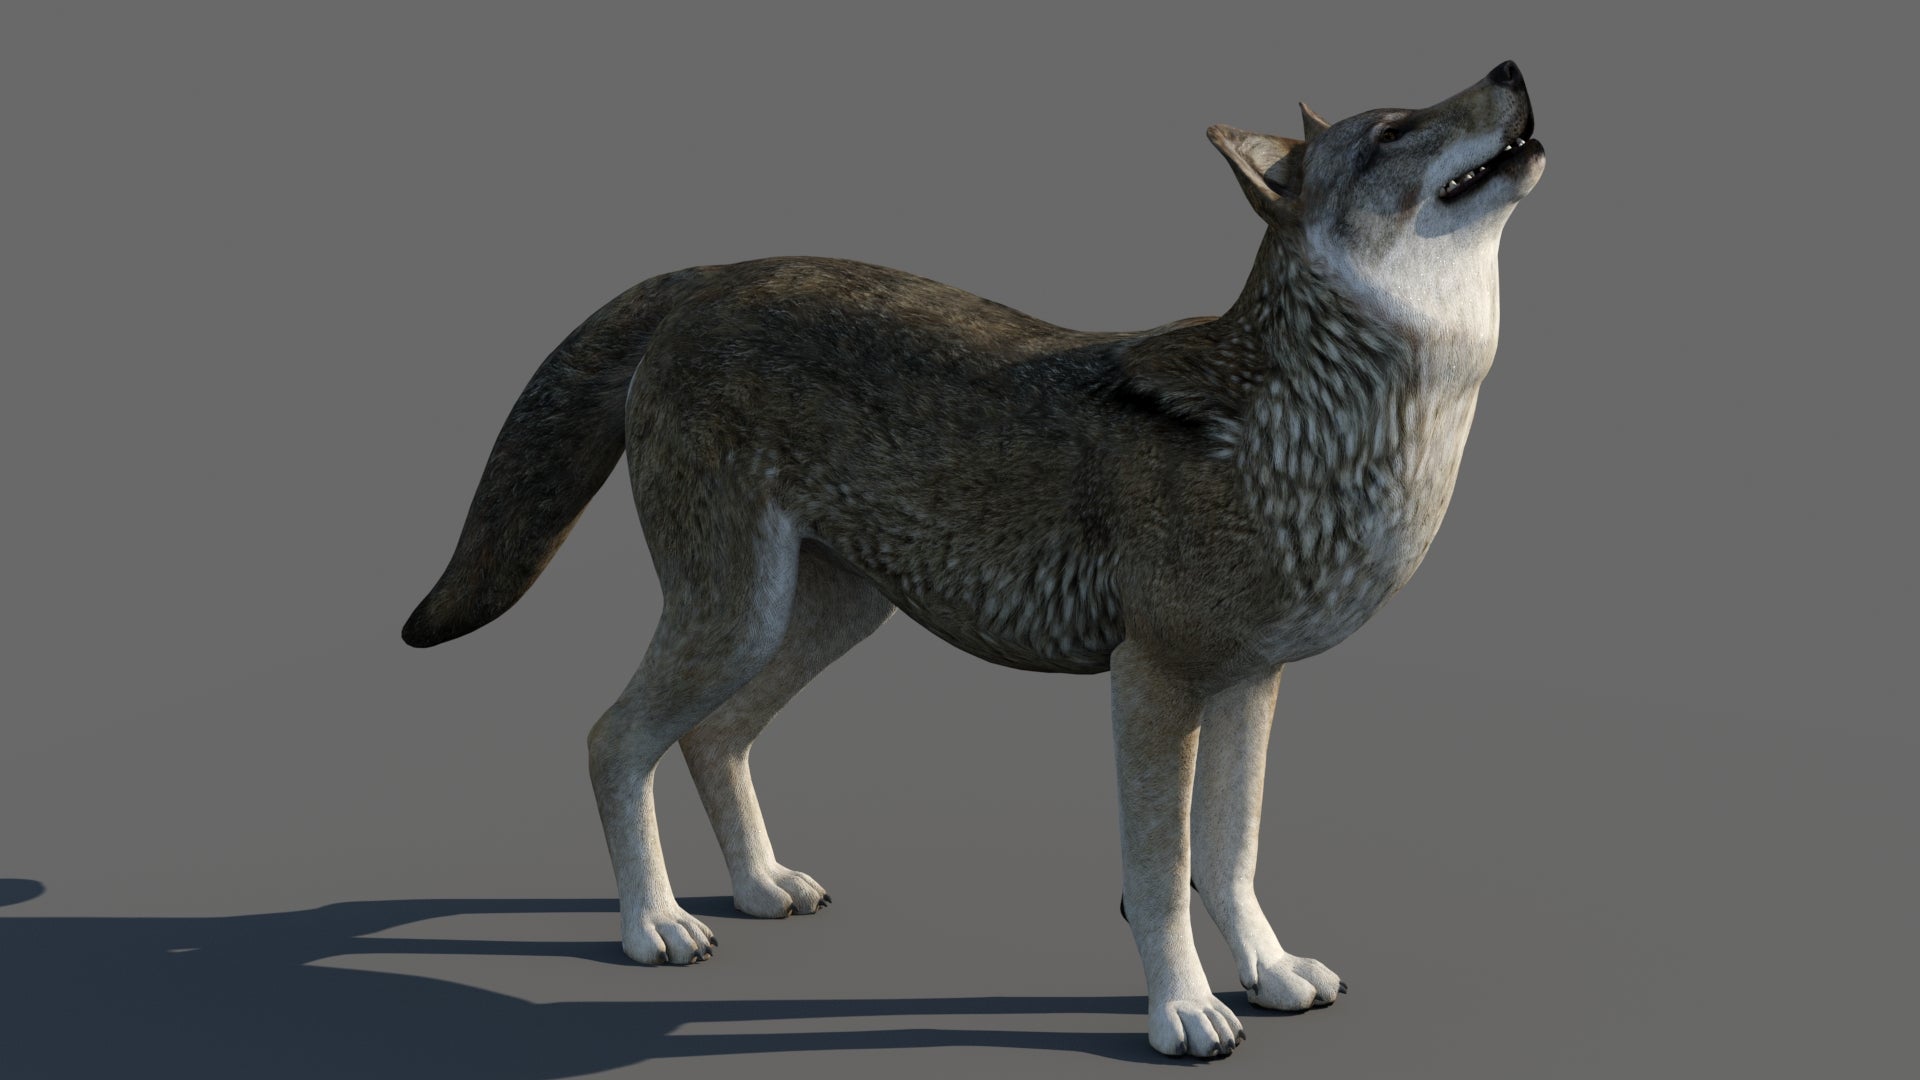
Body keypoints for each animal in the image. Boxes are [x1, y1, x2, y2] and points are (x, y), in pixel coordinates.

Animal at [403, 62, 1544, 1057]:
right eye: (1393, 133)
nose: (1513, 68)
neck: (1315, 426)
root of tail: (707, 278)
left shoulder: (1249, 684)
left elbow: (1231, 856)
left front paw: (1267, 973)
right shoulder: (1154, 680)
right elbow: (1162, 875)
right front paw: (1182, 1012)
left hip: (820, 622)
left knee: (712, 739)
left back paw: (762, 887)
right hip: (736, 620)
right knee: (613, 739)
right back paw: (655, 927)